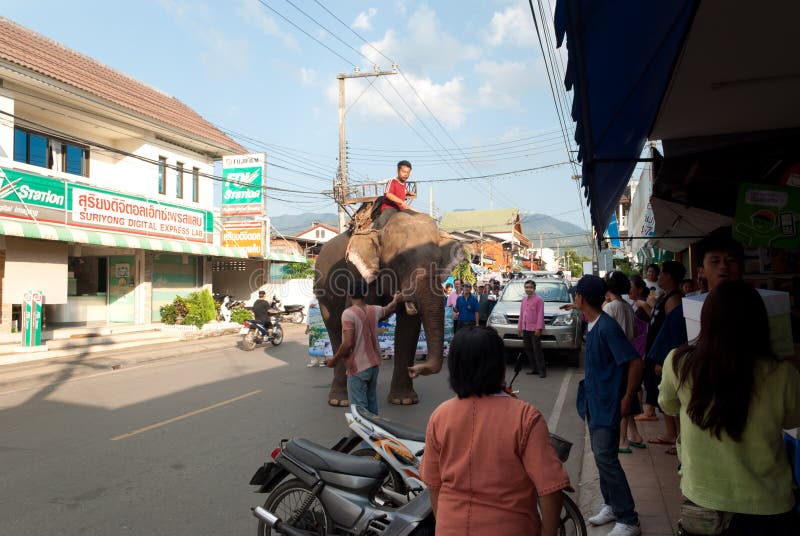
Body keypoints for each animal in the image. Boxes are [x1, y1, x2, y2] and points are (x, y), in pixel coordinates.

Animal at [312, 209, 462, 406]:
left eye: (439, 261)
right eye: (400, 259)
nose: (415, 369)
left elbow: (408, 326)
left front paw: (404, 400)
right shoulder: (356, 272)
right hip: (322, 293)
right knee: (335, 327)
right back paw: (339, 400)